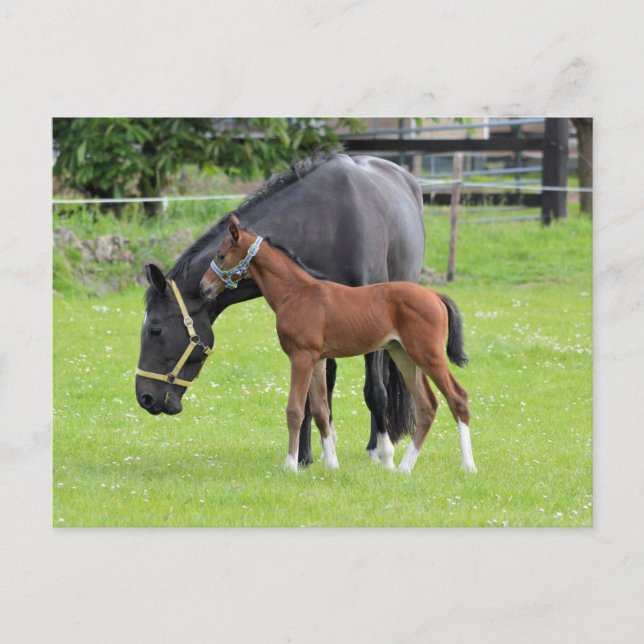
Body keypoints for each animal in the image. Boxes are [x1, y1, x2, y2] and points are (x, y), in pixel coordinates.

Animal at [135, 152, 426, 466]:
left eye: (155, 329)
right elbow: (310, 397)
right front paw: (305, 455)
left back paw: (375, 445)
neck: (325, 223)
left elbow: (375, 391)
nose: (145, 397)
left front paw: (381, 453)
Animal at [200, 215, 478, 475]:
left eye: (221, 255)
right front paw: (332, 464)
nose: (204, 287)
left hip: (428, 354)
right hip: (404, 355)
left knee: (458, 398)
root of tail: (435, 295)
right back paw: (404, 468)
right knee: (427, 406)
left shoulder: (301, 357)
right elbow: (321, 411)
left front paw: (290, 465)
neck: (296, 293)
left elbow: (295, 410)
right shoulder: (318, 360)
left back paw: (468, 466)